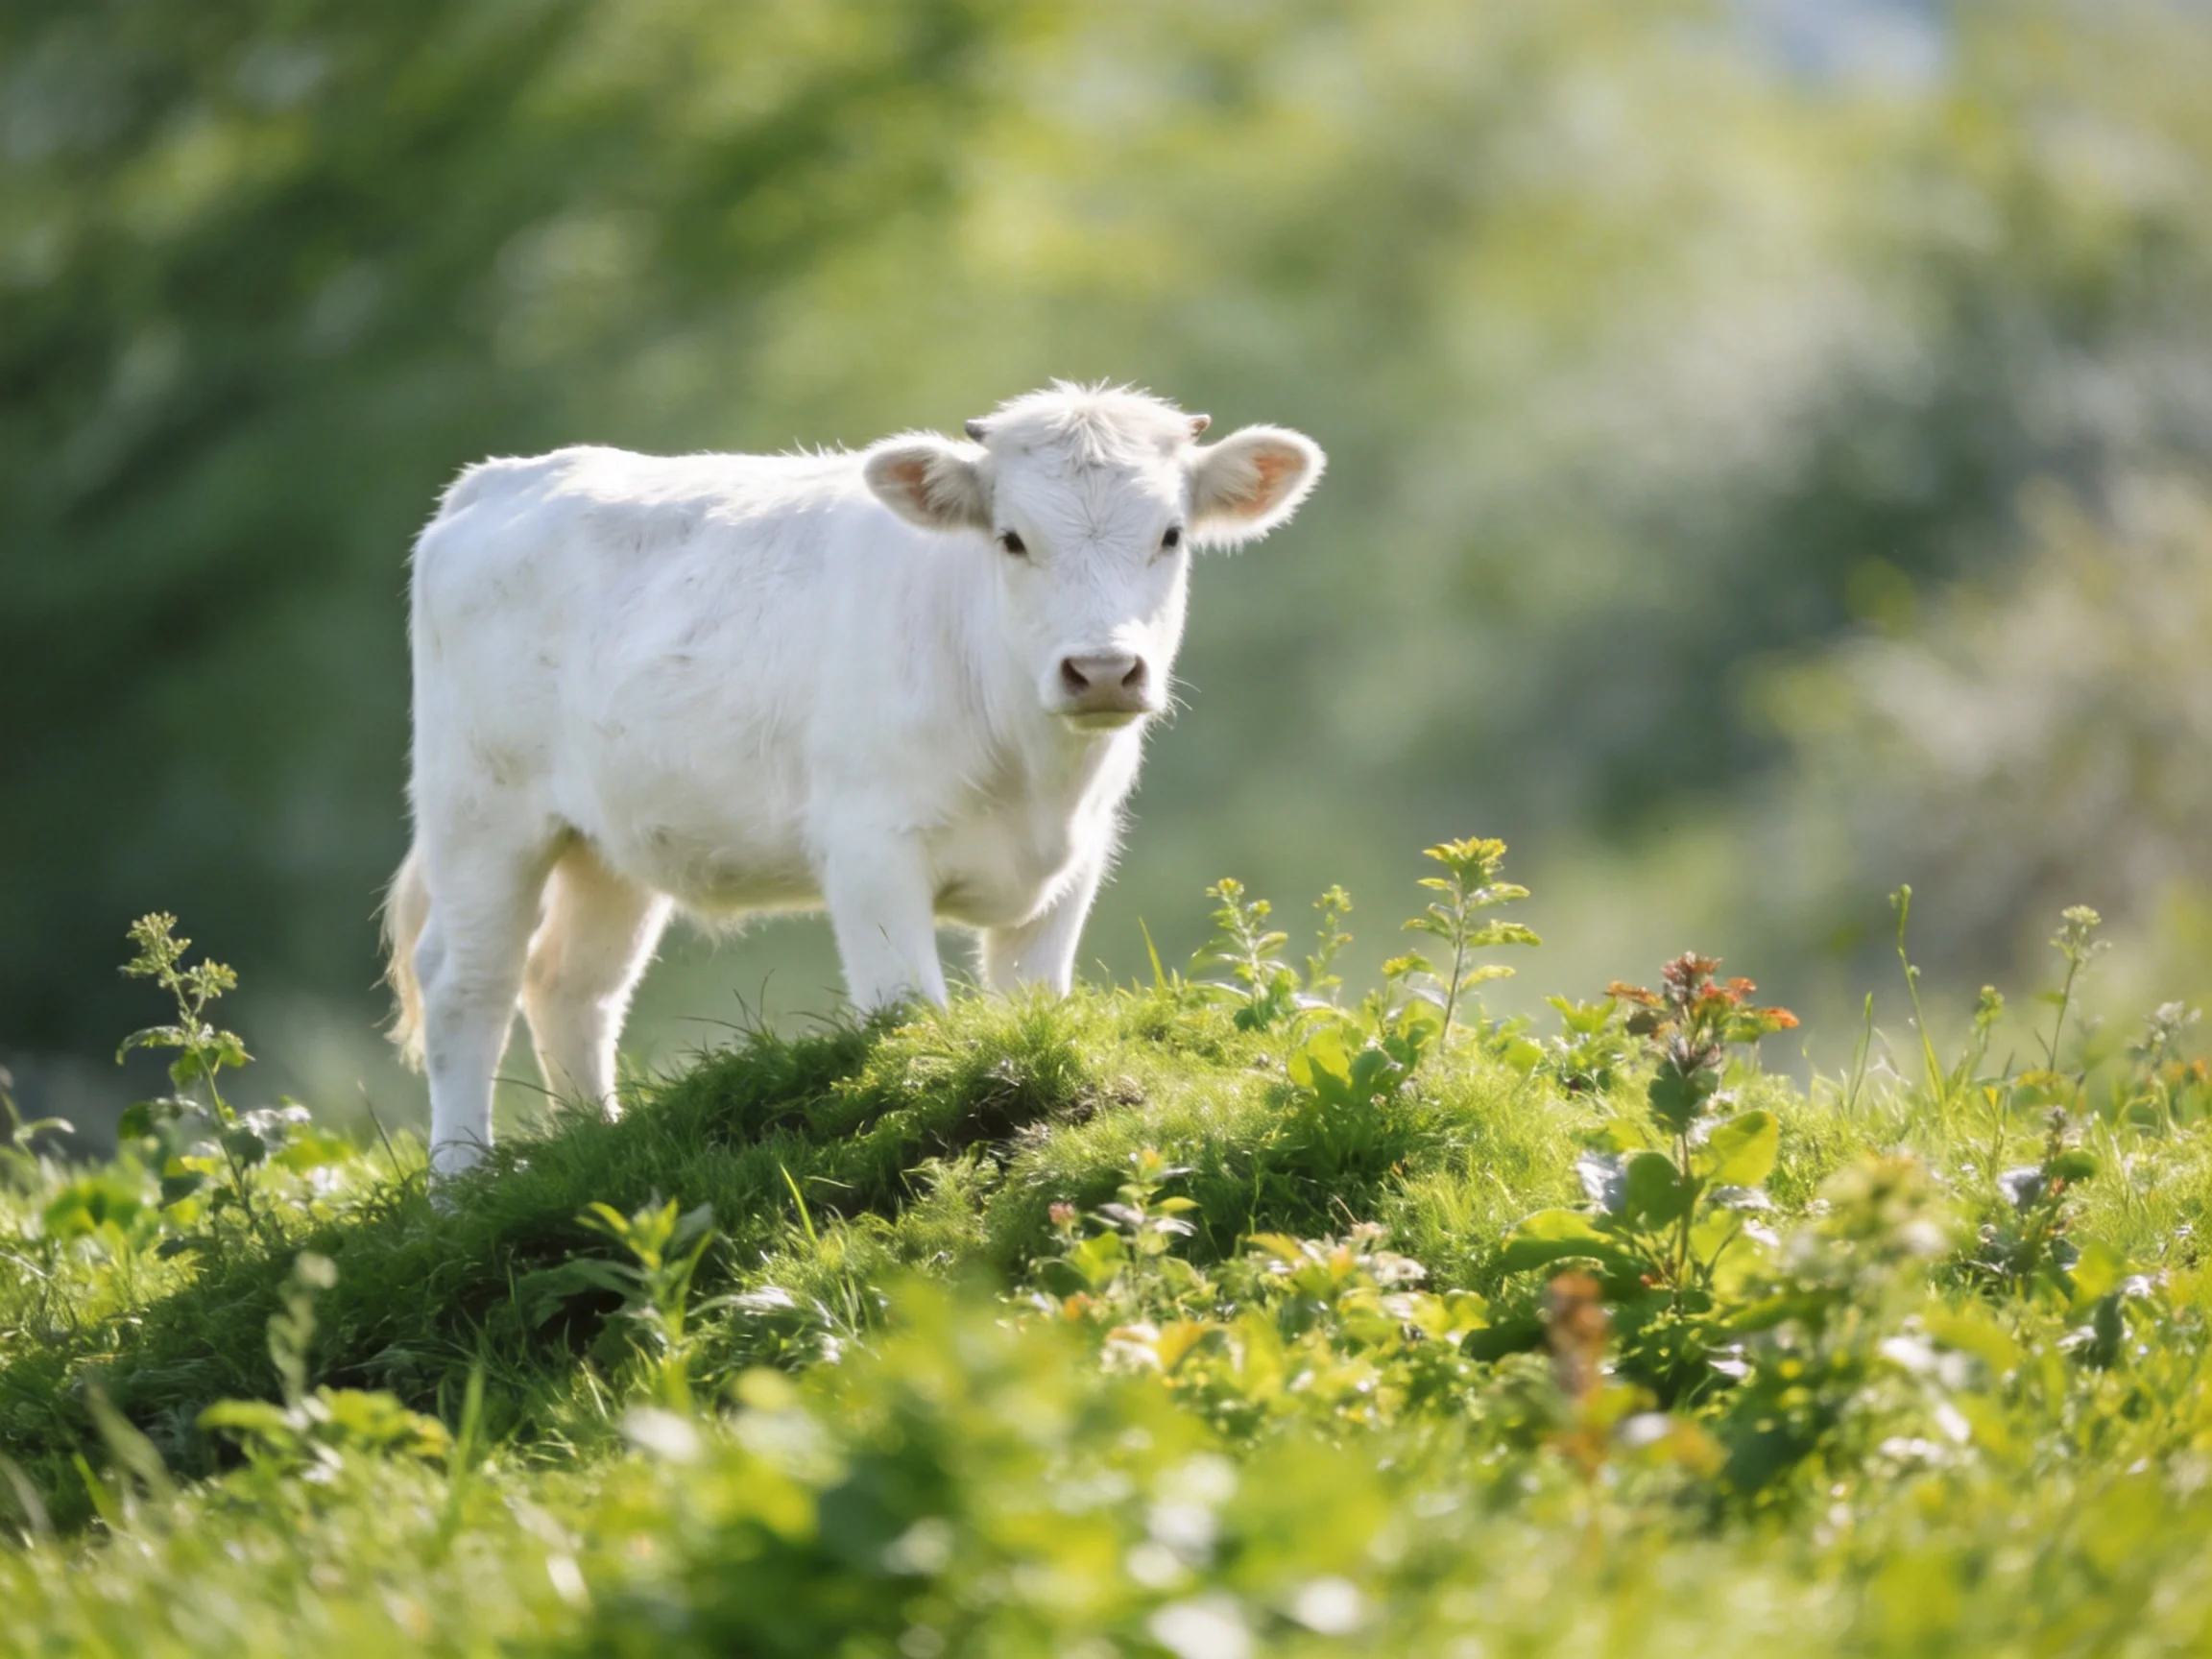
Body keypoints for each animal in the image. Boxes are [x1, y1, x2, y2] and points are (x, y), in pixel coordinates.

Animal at [381, 382, 1324, 1176]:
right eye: (1013, 538)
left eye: (1170, 535)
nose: (1100, 670)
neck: (1031, 773)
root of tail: (497, 480)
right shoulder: (871, 853)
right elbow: (910, 1016)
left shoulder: (1073, 867)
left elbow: (1029, 1005)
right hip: (481, 814)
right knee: (469, 986)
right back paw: (461, 1188)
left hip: (606, 844)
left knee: (572, 985)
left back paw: (595, 1148)